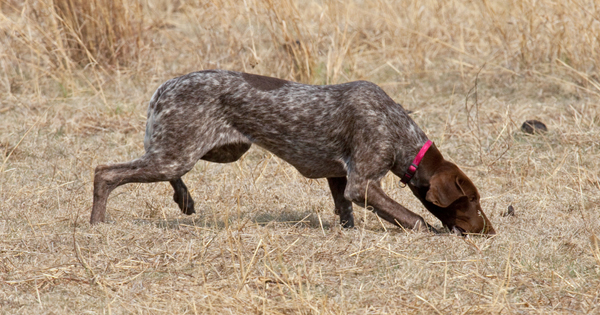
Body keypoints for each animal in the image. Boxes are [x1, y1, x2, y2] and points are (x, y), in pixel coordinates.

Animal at [91, 70, 494, 236]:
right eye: (471, 200)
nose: (489, 232)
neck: (398, 130)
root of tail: (164, 87)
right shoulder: (362, 183)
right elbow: (411, 216)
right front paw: (429, 230)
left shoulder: (340, 177)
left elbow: (344, 211)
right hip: (179, 152)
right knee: (105, 173)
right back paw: (97, 222)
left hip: (215, 149)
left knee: (171, 174)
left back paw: (185, 200)